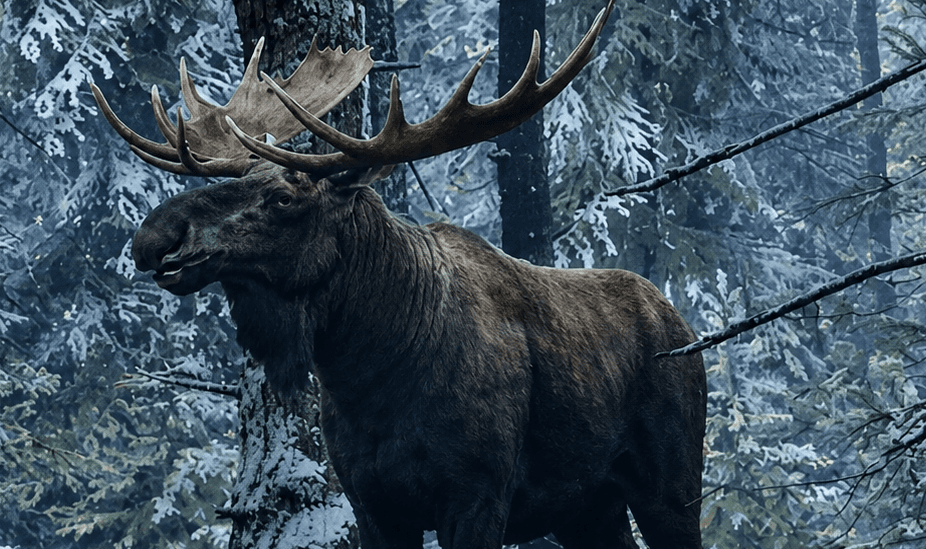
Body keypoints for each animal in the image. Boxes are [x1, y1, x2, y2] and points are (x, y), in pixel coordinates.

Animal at [90, 1, 706, 547]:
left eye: (284, 197)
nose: (154, 238)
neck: (369, 377)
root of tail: (681, 324)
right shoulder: (372, 504)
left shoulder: (479, 494)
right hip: (588, 508)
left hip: (672, 486)